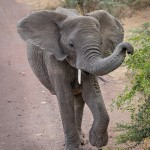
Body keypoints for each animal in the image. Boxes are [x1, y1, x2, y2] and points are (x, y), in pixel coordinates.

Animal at [16, 7, 134, 150]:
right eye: (71, 45)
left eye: (101, 42)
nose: (127, 48)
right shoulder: (54, 58)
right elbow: (65, 100)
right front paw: (72, 147)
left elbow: (92, 93)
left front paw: (97, 142)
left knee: (78, 100)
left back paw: (81, 139)